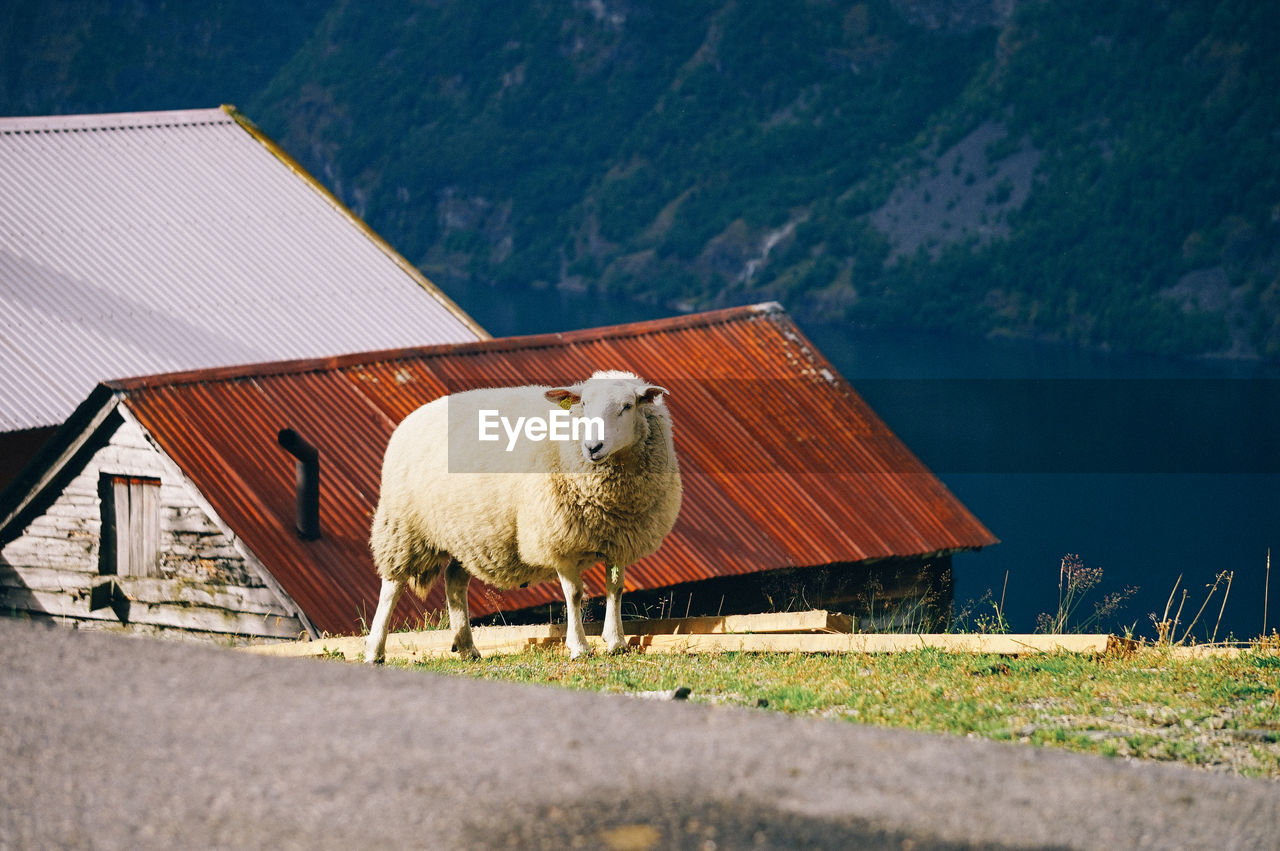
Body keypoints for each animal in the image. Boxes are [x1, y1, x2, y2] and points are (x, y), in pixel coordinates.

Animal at [363, 368, 680, 660]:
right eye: (584, 405)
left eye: (628, 406)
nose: (593, 447)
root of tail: (414, 415)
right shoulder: (556, 537)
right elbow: (575, 594)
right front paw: (579, 647)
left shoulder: (619, 539)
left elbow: (616, 589)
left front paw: (616, 643)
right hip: (403, 527)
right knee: (392, 586)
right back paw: (375, 651)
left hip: (467, 534)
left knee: (454, 581)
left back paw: (467, 648)